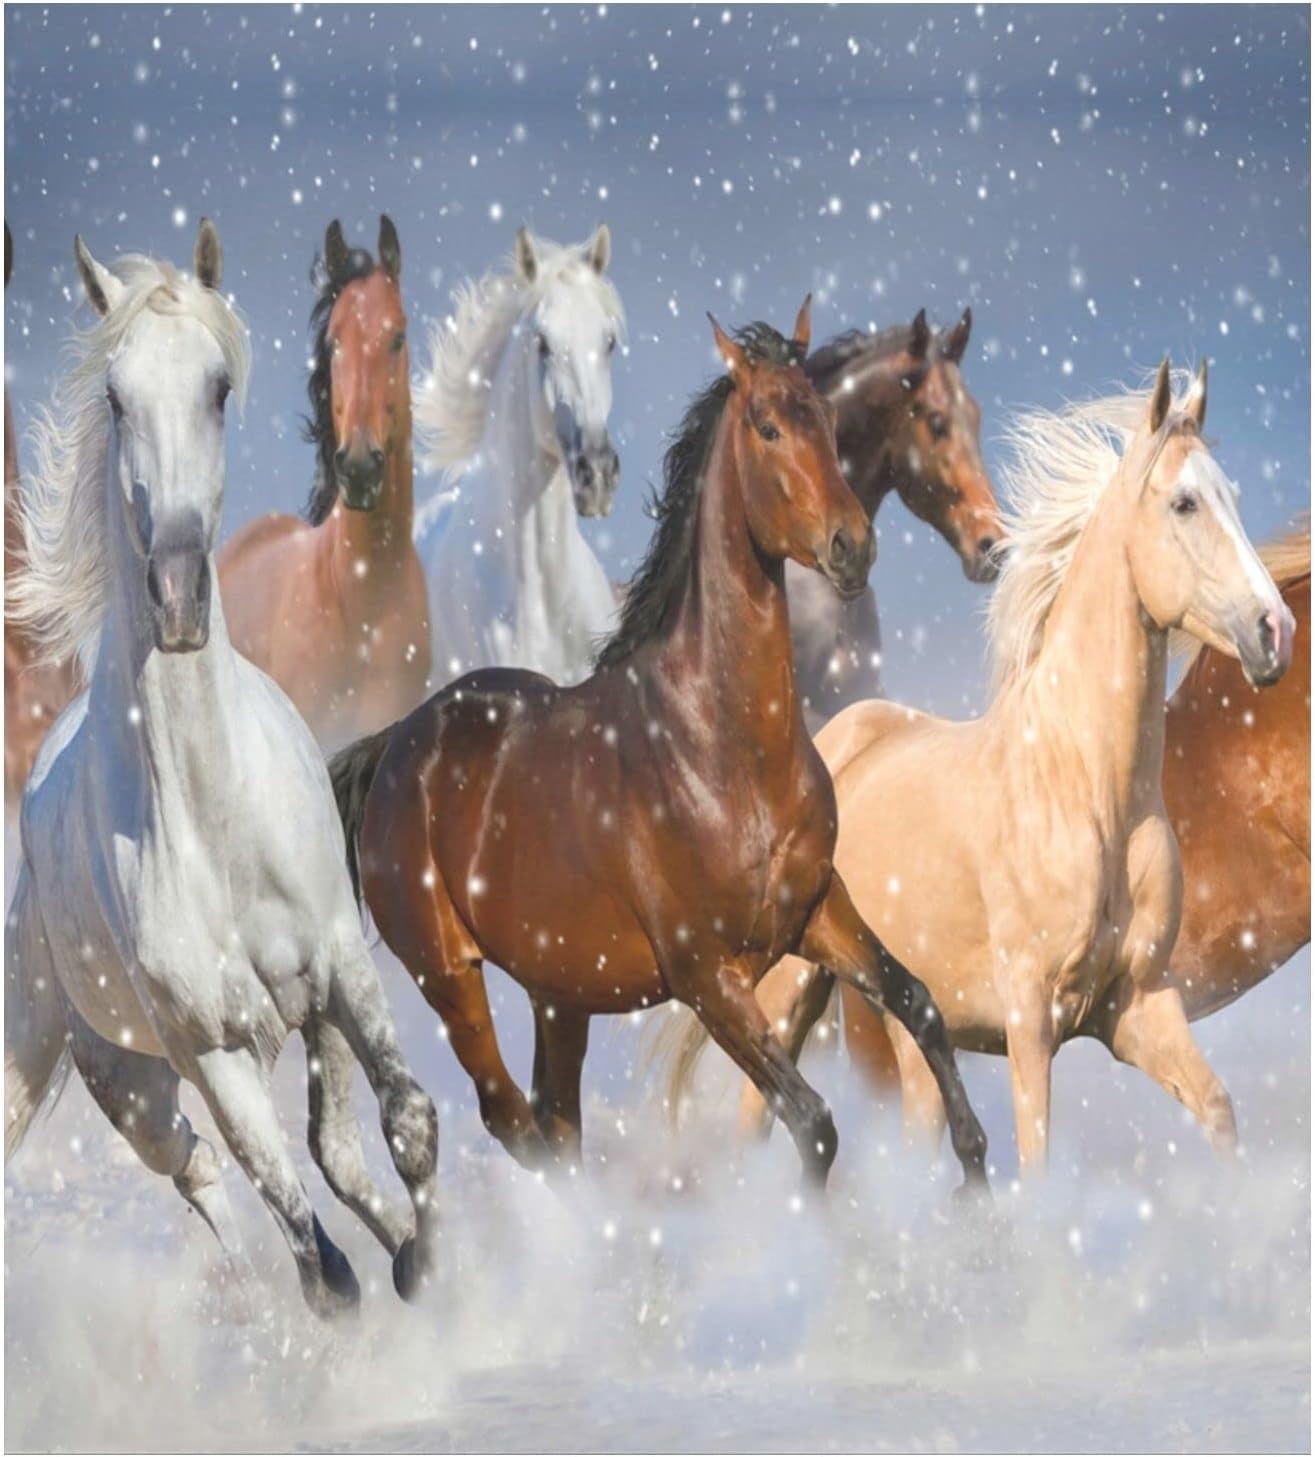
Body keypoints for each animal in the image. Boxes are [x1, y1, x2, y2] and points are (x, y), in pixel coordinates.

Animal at [687, 362, 1295, 1172]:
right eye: (1184, 502)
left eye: (1230, 494)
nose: (1273, 631)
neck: (1085, 790)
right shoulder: (1030, 1017)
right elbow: (1036, 1161)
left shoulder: (1138, 1006)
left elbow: (1219, 1111)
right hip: (791, 989)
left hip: (908, 1034)